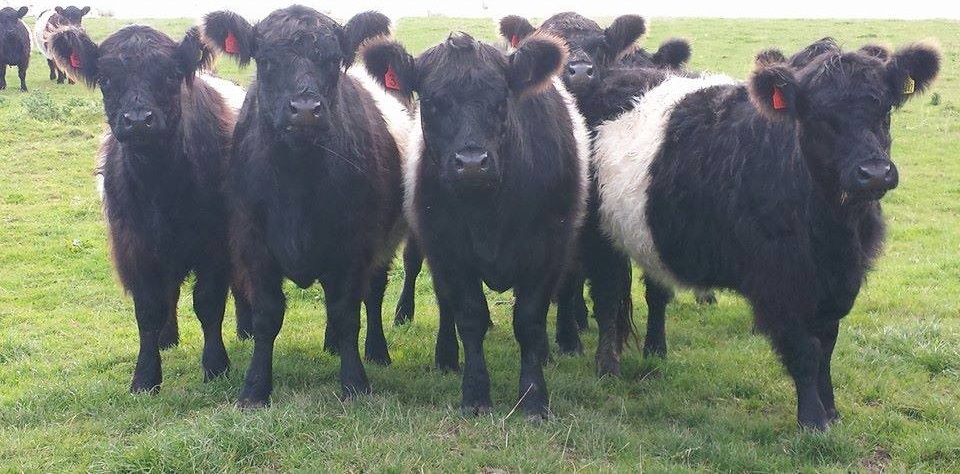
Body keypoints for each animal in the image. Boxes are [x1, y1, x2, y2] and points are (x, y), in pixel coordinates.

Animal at [48, 24, 250, 393]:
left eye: (171, 75)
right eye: (106, 79)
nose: (139, 120)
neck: (160, 184)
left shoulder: (214, 244)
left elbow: (209, 303)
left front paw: (216, 366)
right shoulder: (134, 246)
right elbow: (148, 309)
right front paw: (145, 376)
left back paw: (247, 329)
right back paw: (167, 339)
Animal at [201, 6, 407, 407]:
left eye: (332, 60)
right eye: (266, 60)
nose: (306, 110)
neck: (297, 178)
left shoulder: (354, 244)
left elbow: (347, 313)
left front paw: (354, 382)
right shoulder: (253, 244)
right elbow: (266, 316)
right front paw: (255, 389)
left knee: (372, 293)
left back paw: (376, 351)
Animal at [363, 31, 590, 419]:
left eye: (502, 98)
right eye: (432, 101)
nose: (471, 163)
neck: (489, 211)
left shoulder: (547, 249)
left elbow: (529, 320)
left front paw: (534, 398)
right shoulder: (449, 250)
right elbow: (469, 317)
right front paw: (475, 394)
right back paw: (444, 354)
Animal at [592, 39, 940, 430]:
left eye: (884, 108)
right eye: (818, 115)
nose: (875, 173)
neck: (834, 230)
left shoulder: (839, 281)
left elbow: (827, 346)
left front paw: (831, 410)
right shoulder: (778, 283)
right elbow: (805, 350)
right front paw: (813, 420)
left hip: (656, 234)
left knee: (656, 293)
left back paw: (656, 351)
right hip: (599, 234)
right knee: (607, 298)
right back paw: (607, 366)